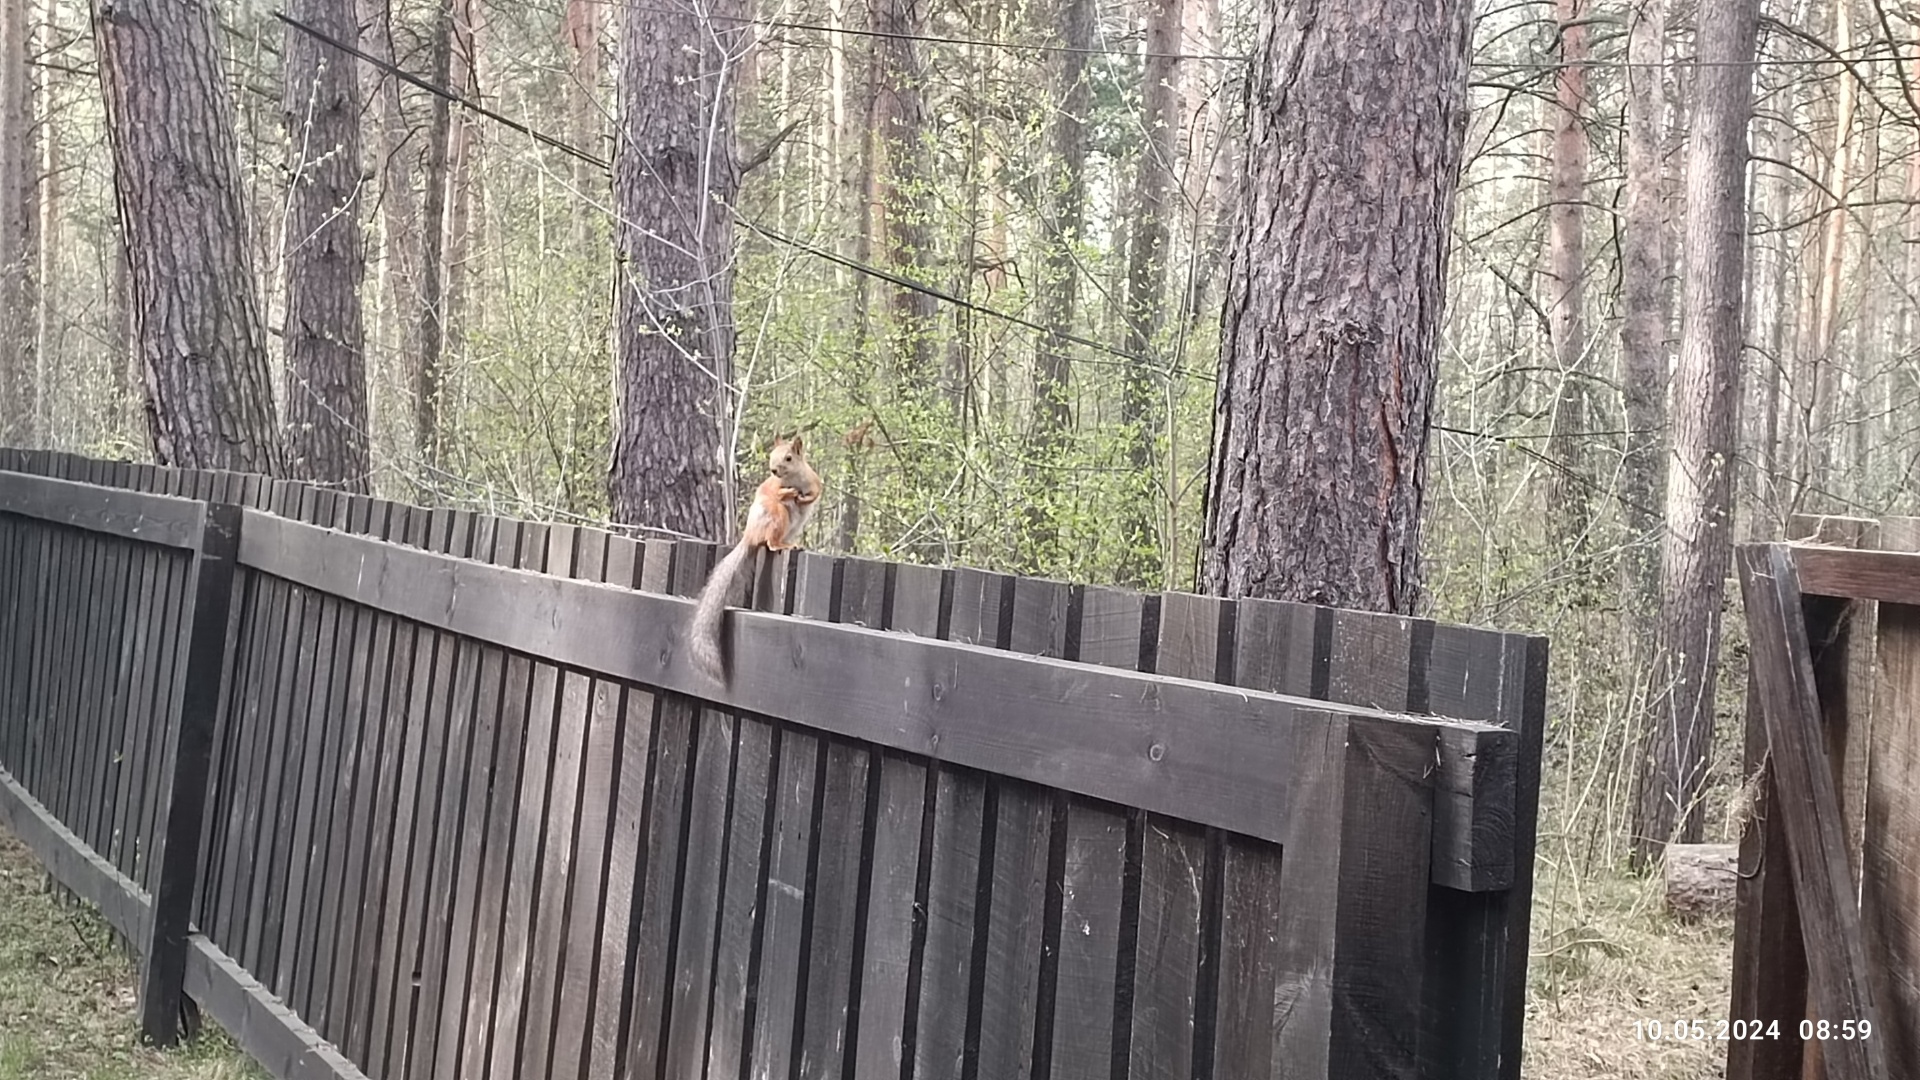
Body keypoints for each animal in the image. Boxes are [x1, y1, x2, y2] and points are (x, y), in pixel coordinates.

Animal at [691, 432, 817, 676]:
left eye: (788, 458)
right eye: (771, 455)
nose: (773, 470)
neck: (793, 479)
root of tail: (749, 535)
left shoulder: (813, 480)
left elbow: (816, 493)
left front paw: (805, 497)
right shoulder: (774, 487)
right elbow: (777, 491)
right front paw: (789, 493)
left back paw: (792, 543)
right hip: (777, 516)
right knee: (770, 542)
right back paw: (783, 544)